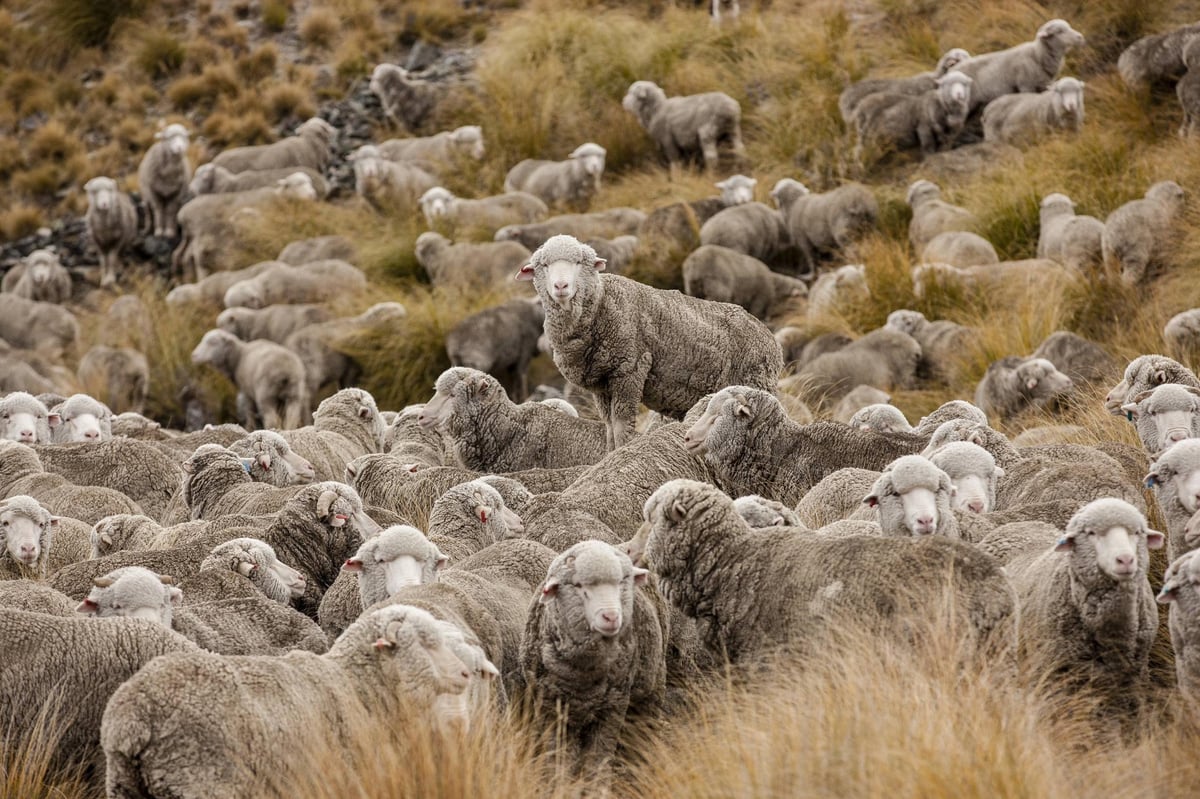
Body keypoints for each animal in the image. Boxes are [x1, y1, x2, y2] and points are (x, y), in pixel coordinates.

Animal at [100, 604, 478, 797]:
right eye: (426, 642)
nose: (465, 674)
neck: (358, 687)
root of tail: (133, 714)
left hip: (125, 785)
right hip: (200, 777)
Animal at [518, 235, 783, 449]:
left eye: (578, 263)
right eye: (544, 265)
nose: (560, 286)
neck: (602, 304)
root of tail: (769, 337)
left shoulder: (630, 369)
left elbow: (621, 425)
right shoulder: (601, 384)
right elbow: (609, 427)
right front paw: (609, 454)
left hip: (755, 380)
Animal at [521, 540, 665, 777]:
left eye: (621, 582)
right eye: (579, 586)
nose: (611, 616)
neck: (584, 676)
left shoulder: (613, 708)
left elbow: (598, 757)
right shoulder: (552, 708)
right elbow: (559, 756)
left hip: (651, 686)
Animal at [1005, 498, 1161, 721]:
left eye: (1138, 532)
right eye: (1091, 533)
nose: (1125, 560)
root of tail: (1021, 524)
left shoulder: (1135, 674)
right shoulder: (1056, 674)